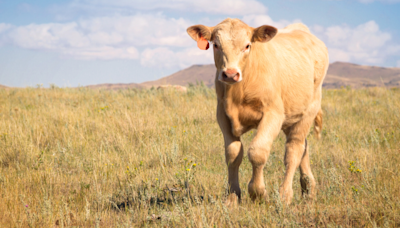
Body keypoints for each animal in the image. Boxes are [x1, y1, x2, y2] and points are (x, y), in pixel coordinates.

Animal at [188, 18, 328, 205]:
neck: (238, 93)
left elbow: (257, 152)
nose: (230, 74)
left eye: (247, 45)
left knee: (294, 150)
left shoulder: (273, 113)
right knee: (303, 147)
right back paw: (308, 190)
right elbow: (233, 155)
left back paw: (285, 194)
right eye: (216, 45)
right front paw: (232, 197)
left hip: (310, 109)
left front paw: (258, 193)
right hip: (292, 114)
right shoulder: (222, 115)